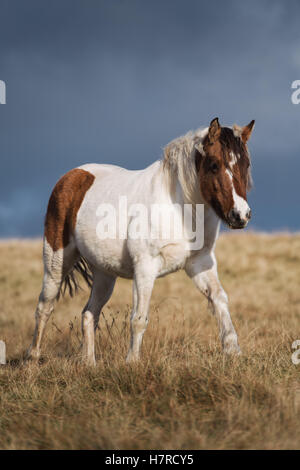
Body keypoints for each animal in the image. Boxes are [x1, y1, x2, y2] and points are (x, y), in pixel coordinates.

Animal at [27, 116, 254, 364]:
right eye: (214, 164)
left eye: (246, 165)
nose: (240, 215)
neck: (179, 207)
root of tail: (72, 175)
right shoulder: (145, 267)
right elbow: (139, 318)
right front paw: (132, 362)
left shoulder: (200, 263)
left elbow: (219, 299)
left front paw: (233, 351)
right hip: (56, 262)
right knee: (45, 306)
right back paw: (32, 359)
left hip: (104, 274)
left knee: (89, 314)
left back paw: (89, 363)